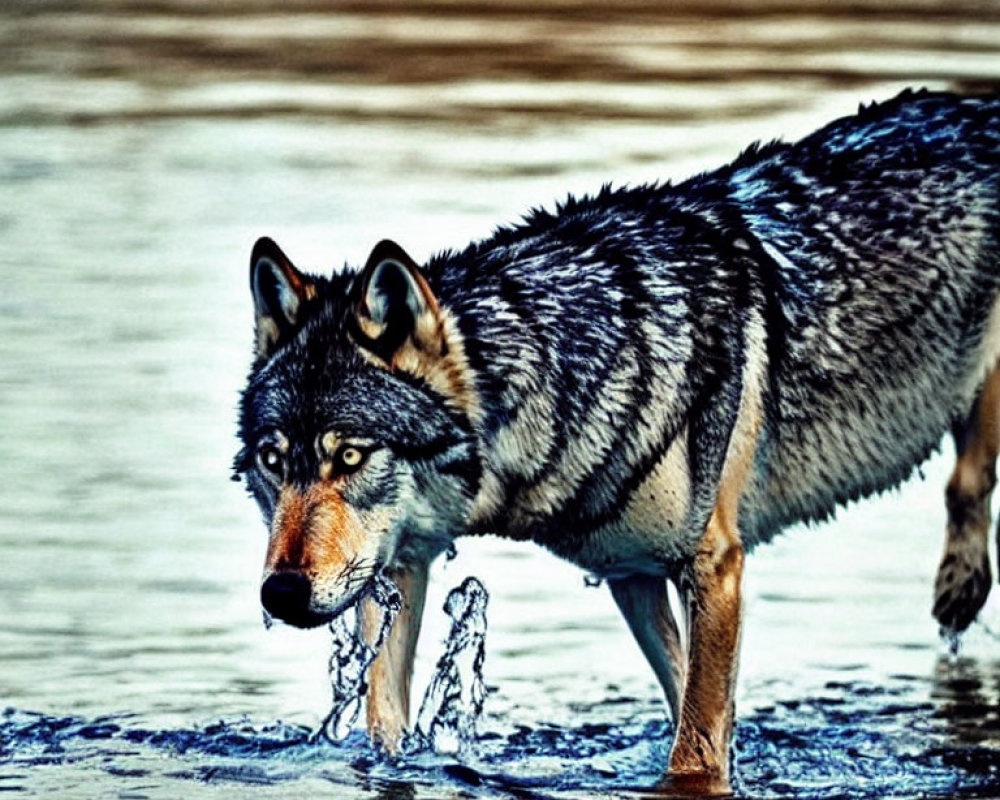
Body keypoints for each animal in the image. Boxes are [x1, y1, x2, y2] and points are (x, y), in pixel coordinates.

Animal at [236, 90, 1000, 792]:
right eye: (274, 462)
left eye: (350, 456)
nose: (280, 594)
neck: (559, 369)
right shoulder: (613, 573)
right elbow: (386, 719)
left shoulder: (714, 565)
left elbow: (695, 745)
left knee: (969, 478)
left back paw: (960, 588)